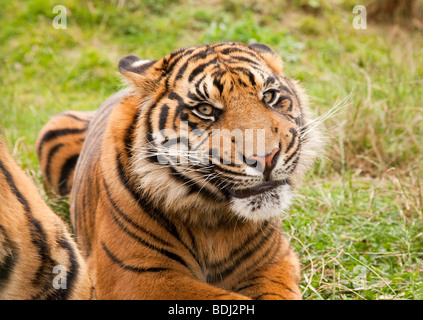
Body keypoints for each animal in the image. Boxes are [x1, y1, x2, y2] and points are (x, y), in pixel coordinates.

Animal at [36, 42, 322, 300]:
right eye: (205, 109)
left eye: (269, 96)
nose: (266, 158)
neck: (215, 222)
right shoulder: (135, 275)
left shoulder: (272, 260)